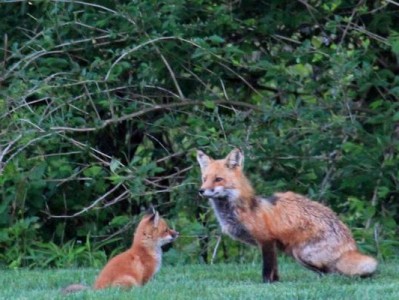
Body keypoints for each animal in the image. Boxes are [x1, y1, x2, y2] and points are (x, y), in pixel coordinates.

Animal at [198, 149, 380, 282]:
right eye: (204, 179)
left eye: (218, 179)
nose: (201, 191)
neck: (246, 209)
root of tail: (350, 244)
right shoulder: (272, 245)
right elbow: (275, 270)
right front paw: (276, 283)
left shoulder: (266, 240)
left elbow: (267, 269)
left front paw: (266, 284)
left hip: (302, 253)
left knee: (333, 272)